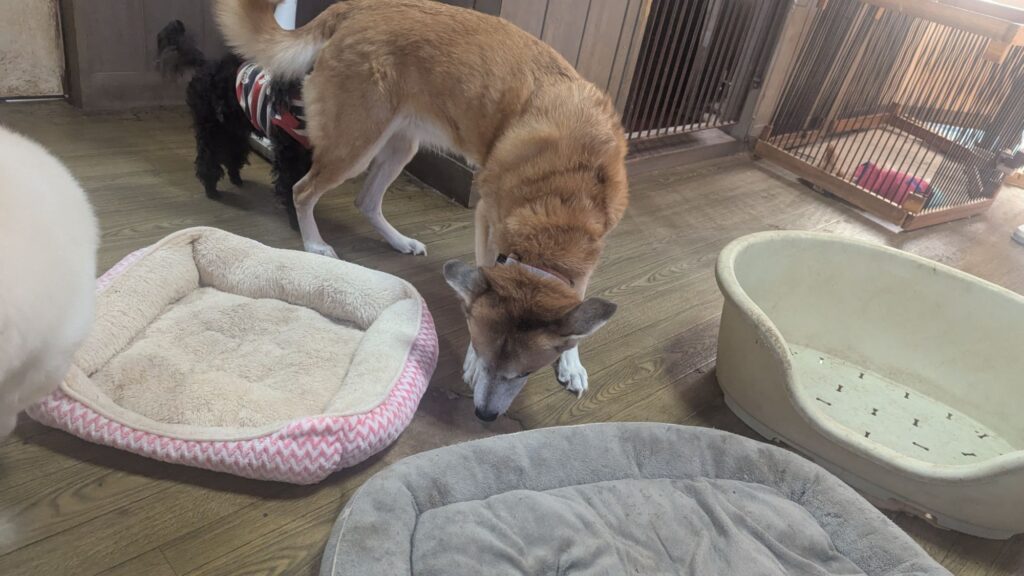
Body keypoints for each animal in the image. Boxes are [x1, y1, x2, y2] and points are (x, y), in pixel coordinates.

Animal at [156, 19, 311, 228]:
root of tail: (205, 65)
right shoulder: (289, 154)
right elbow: (290, 185)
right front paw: (297, 221)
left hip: (234, 130)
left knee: (232, 156)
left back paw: (236, 179)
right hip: (211, 129)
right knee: (207, 160)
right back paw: (211, 190)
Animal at [215, 0, 629, 420]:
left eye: (525, 373)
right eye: (485, 356)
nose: (484, 416)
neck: (566, 193)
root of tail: (357, 8)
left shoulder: (588, 252)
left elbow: (576, 300)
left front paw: (572, 361)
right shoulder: (486, 219)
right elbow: (482, 281)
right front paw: (470, 359)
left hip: (401, 144)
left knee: (366, 200)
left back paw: (399, 241)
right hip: (356, 143)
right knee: (302, 190)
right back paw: (315, 244)